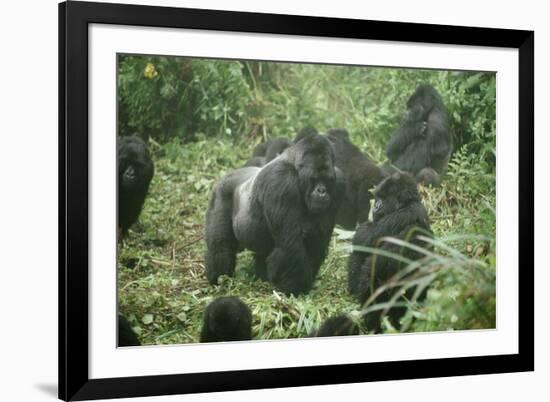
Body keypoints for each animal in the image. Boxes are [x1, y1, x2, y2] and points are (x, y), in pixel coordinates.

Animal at [205, 130, 342, 294]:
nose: (322, 191)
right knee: (220, 246)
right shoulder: (281, 181)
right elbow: (289, 244)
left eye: (327, 180)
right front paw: (296, 287)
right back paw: (219, 280)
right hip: (220, 192)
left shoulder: (338, 184)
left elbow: (317, 241)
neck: (295, 167)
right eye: (314, 179)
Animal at [350, 171, 436, 332]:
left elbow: (364, 237)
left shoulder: (398, 217)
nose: (376, 205)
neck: (408, 203)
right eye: (378, 197)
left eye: (383, 198)